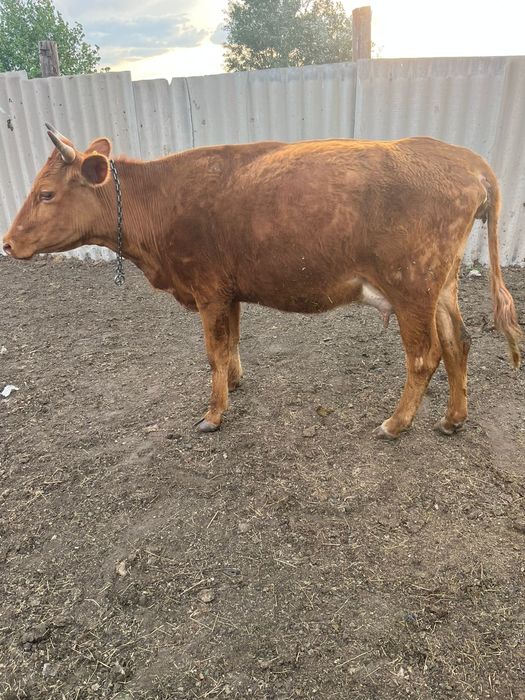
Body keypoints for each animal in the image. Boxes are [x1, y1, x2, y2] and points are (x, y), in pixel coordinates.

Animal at [2, 126, 522, 438]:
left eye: (45, 194)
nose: (7, 243)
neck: (162, 203)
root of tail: (463, 158)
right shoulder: (228, 291)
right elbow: (231, 343)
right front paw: (235, 382)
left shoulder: (208, 289)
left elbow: (213, 351)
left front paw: (213, 414)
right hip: (440, 285)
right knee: (459, 342)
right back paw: (453, 419)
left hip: (412, 285)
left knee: (424, 355)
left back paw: (395, 424)